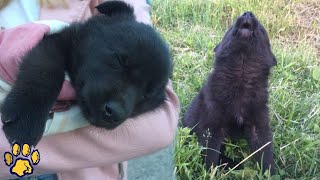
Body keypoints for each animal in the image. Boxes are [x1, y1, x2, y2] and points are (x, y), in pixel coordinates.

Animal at [0, 1, 172, 147]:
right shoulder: (54, 42)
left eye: (147, 95)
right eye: (119, 60)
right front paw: (26, 118)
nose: (114, 113)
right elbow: (44, 70)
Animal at [182, 11, 278, 174]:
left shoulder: (258, 126)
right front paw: (209, 173)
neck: (241, 78)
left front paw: (269, 173)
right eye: (231, 26)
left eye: (262, 30)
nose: (248, 13)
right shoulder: (211, 126)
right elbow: (210, 155)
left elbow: (265, 153)